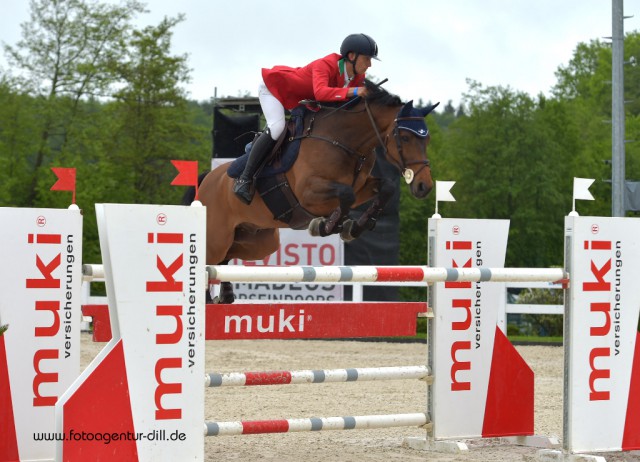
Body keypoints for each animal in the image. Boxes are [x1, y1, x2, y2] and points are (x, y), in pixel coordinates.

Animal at [196, 79, 436, 304]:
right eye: (405, 138)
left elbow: (385, 188)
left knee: (226, 257)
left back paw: (224, 294)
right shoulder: (308, 194)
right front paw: (326, 225)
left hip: (258, 241)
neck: (343, 141)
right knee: (209, 259)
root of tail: (206, 180)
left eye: (427, 139)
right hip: (217, 238)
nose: (424, 186)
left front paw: (355, 226)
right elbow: (345, 194)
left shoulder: (360, 189)